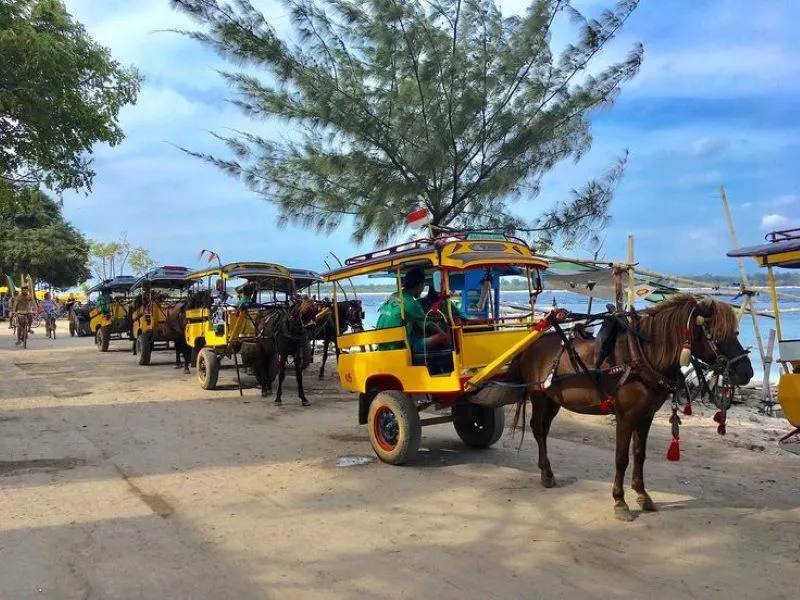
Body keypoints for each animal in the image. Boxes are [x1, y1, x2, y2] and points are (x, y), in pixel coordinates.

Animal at [506, 296, 756, 520]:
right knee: (537, 428)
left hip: (553, 400)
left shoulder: (646, 416)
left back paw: (546, 471)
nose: (747, 372)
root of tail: (532, 342)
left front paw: (643, 495)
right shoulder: (625, 417)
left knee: (544, 428)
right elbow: (621, 458)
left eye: (736, 332)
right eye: (717, 333)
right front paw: (620, 501)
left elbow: (639, 455)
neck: (641, 359)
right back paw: (546, 473)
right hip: (539, 395)